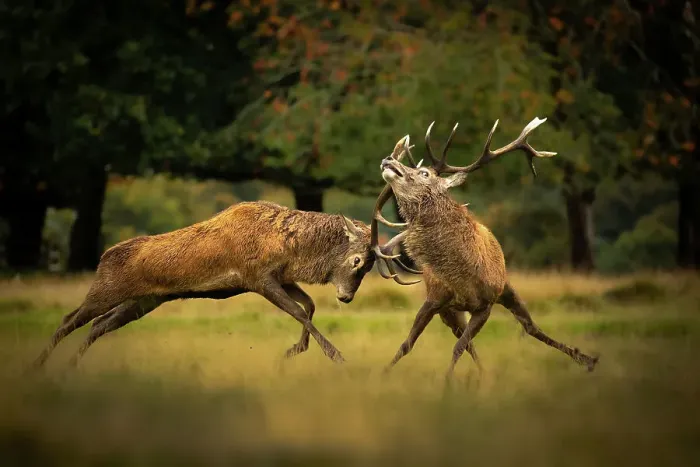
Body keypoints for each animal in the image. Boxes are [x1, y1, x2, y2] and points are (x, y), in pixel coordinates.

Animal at [32, 201, 375, 368]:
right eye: (358, 261)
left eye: (371, 265)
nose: (346, 298)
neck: (290, 250)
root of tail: (103, 257)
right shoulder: (258, 277)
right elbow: (300, 311)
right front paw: (334, 354)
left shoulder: (282, 277)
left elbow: (309, 305)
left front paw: (296, 348)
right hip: (106, 290)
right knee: (70, 319)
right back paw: (36, 366)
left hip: (142, 302)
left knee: (98, 325)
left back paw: (69, 367)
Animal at [370, 117, 600, 378]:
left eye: (424, 173)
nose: (389, 159)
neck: (464, 278)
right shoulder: (435, 300)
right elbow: (407, 344)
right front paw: (383, 374)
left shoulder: (485, 305)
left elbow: (458, 347)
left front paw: (447, 382)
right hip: (450, 312)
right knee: (471, 339)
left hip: (504, 288)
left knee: (530, 327)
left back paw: (587, 359)